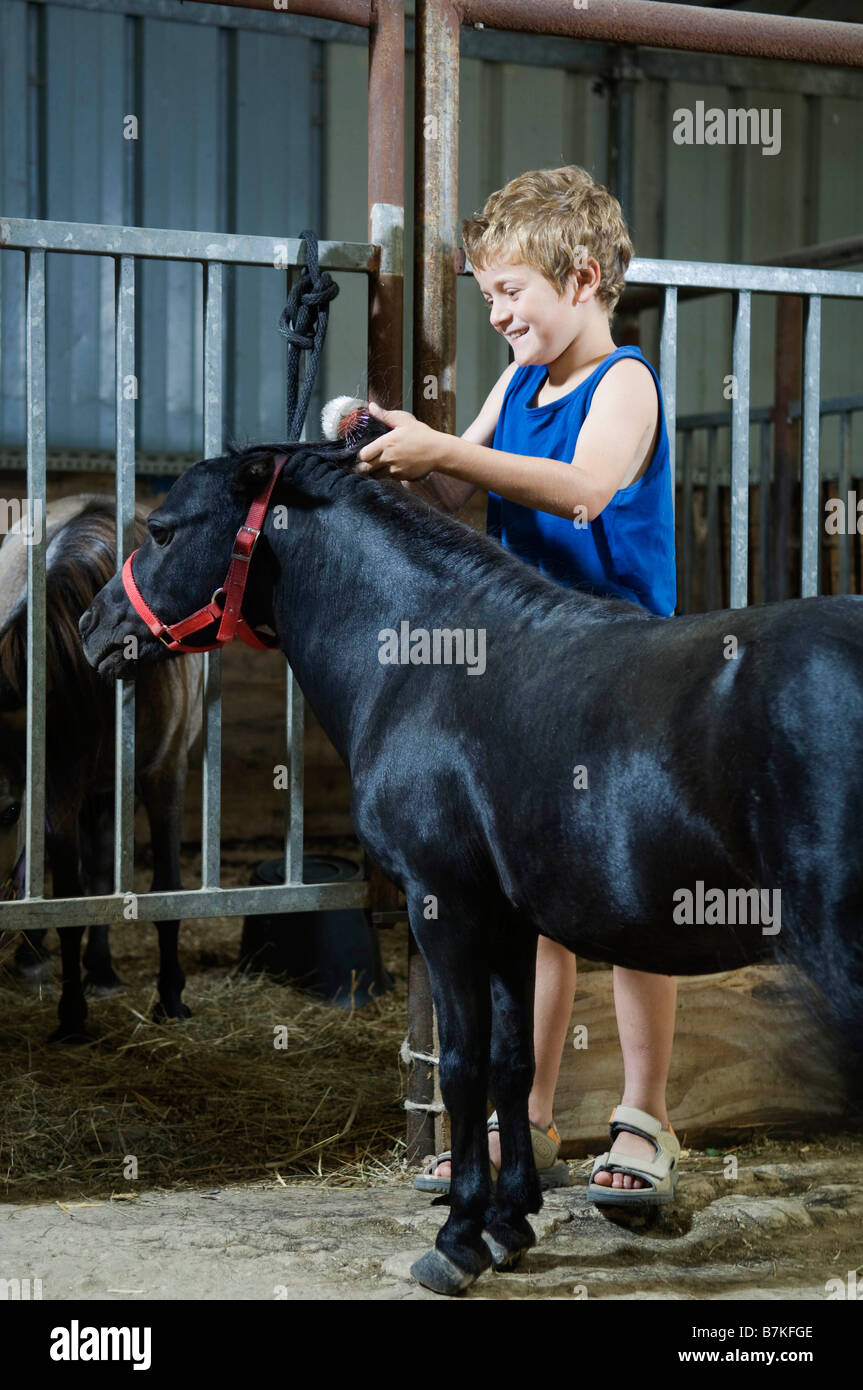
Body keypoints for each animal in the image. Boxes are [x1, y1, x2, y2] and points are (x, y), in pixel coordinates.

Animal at [0, 495, 202, 1040]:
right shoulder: (57, 791)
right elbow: (68, 896)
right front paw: (71, 1014)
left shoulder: (163, 774)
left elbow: (165, 889)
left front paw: (171, 996)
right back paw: (39, 958)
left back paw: (103, 969)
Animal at [77, 414, 863, 1295]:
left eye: (162, 530)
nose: (93, 629)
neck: (431, 662)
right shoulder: (508, 920)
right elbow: (513, 1060)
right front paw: (509, 1221)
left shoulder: (442, 905)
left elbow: (458, 1064)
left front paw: (456, 1240)